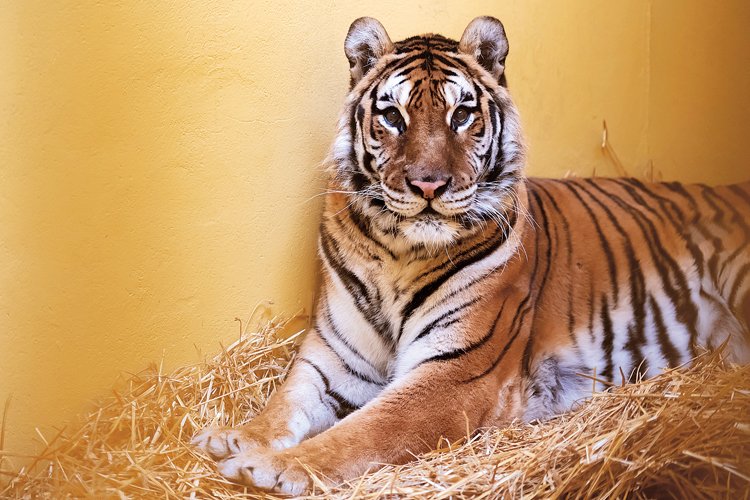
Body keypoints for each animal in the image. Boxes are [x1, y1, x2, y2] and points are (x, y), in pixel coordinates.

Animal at [194, 16, 750, 496]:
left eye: (461, 114)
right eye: (392, 116)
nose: (428, 185)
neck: (399, 252)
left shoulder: (456, 373)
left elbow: (365, 430)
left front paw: (269, 466)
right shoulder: (334, 356)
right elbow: (285, 402)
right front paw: (232, 437)